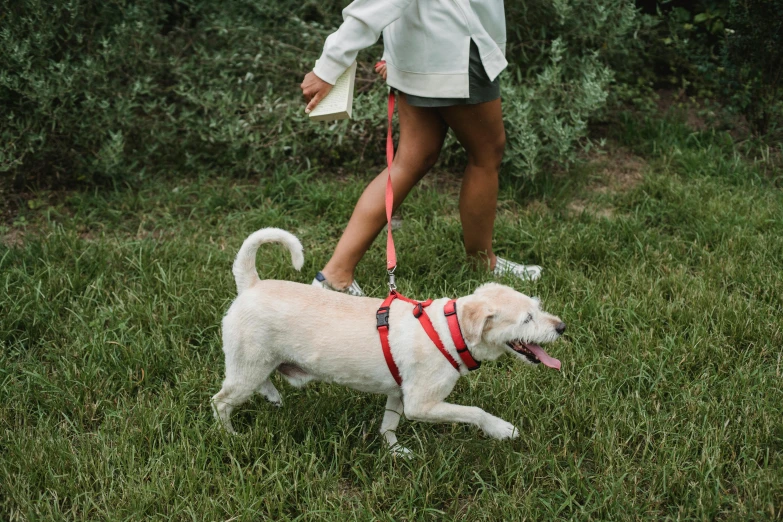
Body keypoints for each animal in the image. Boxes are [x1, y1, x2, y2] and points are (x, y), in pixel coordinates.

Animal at [211, 228, 568, 450]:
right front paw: (502, 430)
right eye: (526, 319)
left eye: (538, 306)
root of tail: (251, 284)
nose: (562, 327)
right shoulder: (421, 404)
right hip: (248, 365)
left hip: (258, 363)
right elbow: (474, 412)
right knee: (221, 402)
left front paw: (395, 452)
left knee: (258, 383)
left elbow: (388, 425)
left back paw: (272, 398)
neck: (449, 330)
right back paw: (231, 437)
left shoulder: (398, 394)